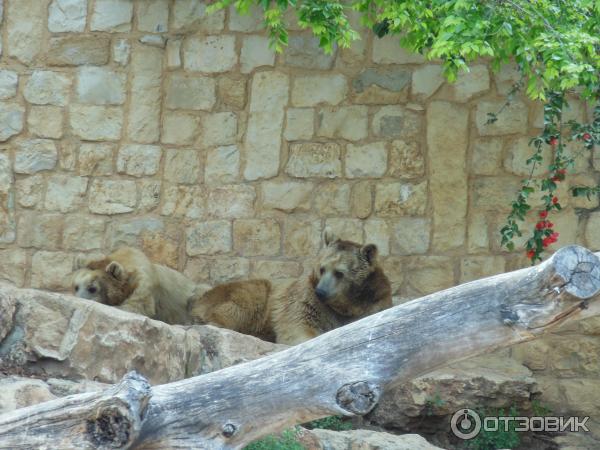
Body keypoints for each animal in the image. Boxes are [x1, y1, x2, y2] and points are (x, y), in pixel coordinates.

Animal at [189, 230, 394, 346]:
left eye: (339, 273)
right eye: (322, 268)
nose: (321, 291)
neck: (347, 305)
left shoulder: (375, 301)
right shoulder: (305, 300)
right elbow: (298, 326)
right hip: (248, 294)